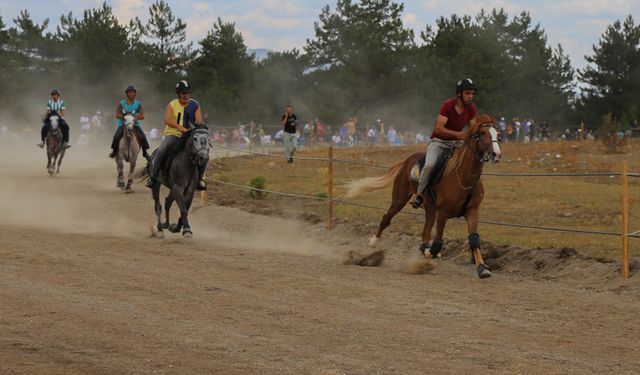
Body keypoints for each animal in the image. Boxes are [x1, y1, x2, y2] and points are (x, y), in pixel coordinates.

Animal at [348, 114, 502, 280]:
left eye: (497, 134)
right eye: (483, 133)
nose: (496, 154)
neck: (463, 177)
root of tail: (406, 161)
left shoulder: (472, 210)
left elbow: (473, 239)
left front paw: (482, 268)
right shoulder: (443, 212)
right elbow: (437, 243)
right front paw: (428, 251)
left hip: (430, 208)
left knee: (425, 232)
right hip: (400, 199)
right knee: (386, 219)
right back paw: (372, 242)